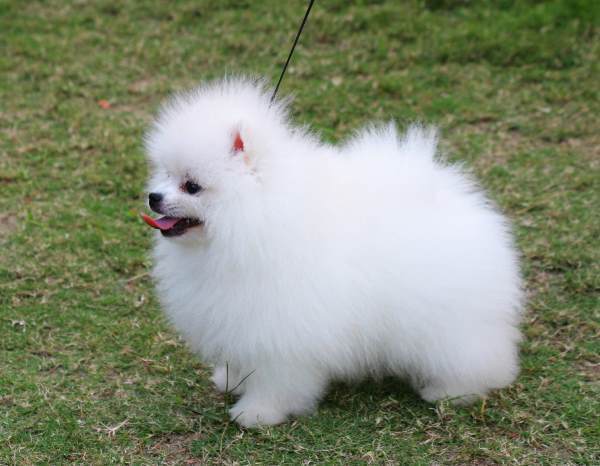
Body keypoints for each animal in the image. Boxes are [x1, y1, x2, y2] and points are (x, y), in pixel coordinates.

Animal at [143, 77, 524, 430]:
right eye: (166, 174)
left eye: (192, 186)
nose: (153, 197)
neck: (255, 225)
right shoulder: (237, 317)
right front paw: (231, 380)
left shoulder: (280, 328)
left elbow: (276, 380)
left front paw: (257, 412)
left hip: (451, 325)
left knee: (472, 356)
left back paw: (449, 391)